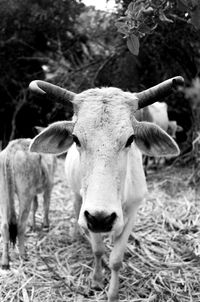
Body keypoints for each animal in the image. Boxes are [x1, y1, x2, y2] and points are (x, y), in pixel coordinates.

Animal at [0, 138, 56, 268]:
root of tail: (13, 146)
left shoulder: (35, 191)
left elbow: (35, 206)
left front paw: (35, 226)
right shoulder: (49, 186)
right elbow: (46, 205)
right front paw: (46, 225)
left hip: (3, 192)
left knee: (4, 226)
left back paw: (5, 261)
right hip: (25, 192)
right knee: (20, 225)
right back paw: (23, 255)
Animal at [28, 76, 184, 300]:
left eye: (130, 139)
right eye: (75, 138)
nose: (101, 219)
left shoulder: (132, 211)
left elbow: (116, 259)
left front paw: (113, 293)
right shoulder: (89, 212)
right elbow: (98, 250)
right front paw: (96, 280)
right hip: (77, 196)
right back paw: (77, 233)